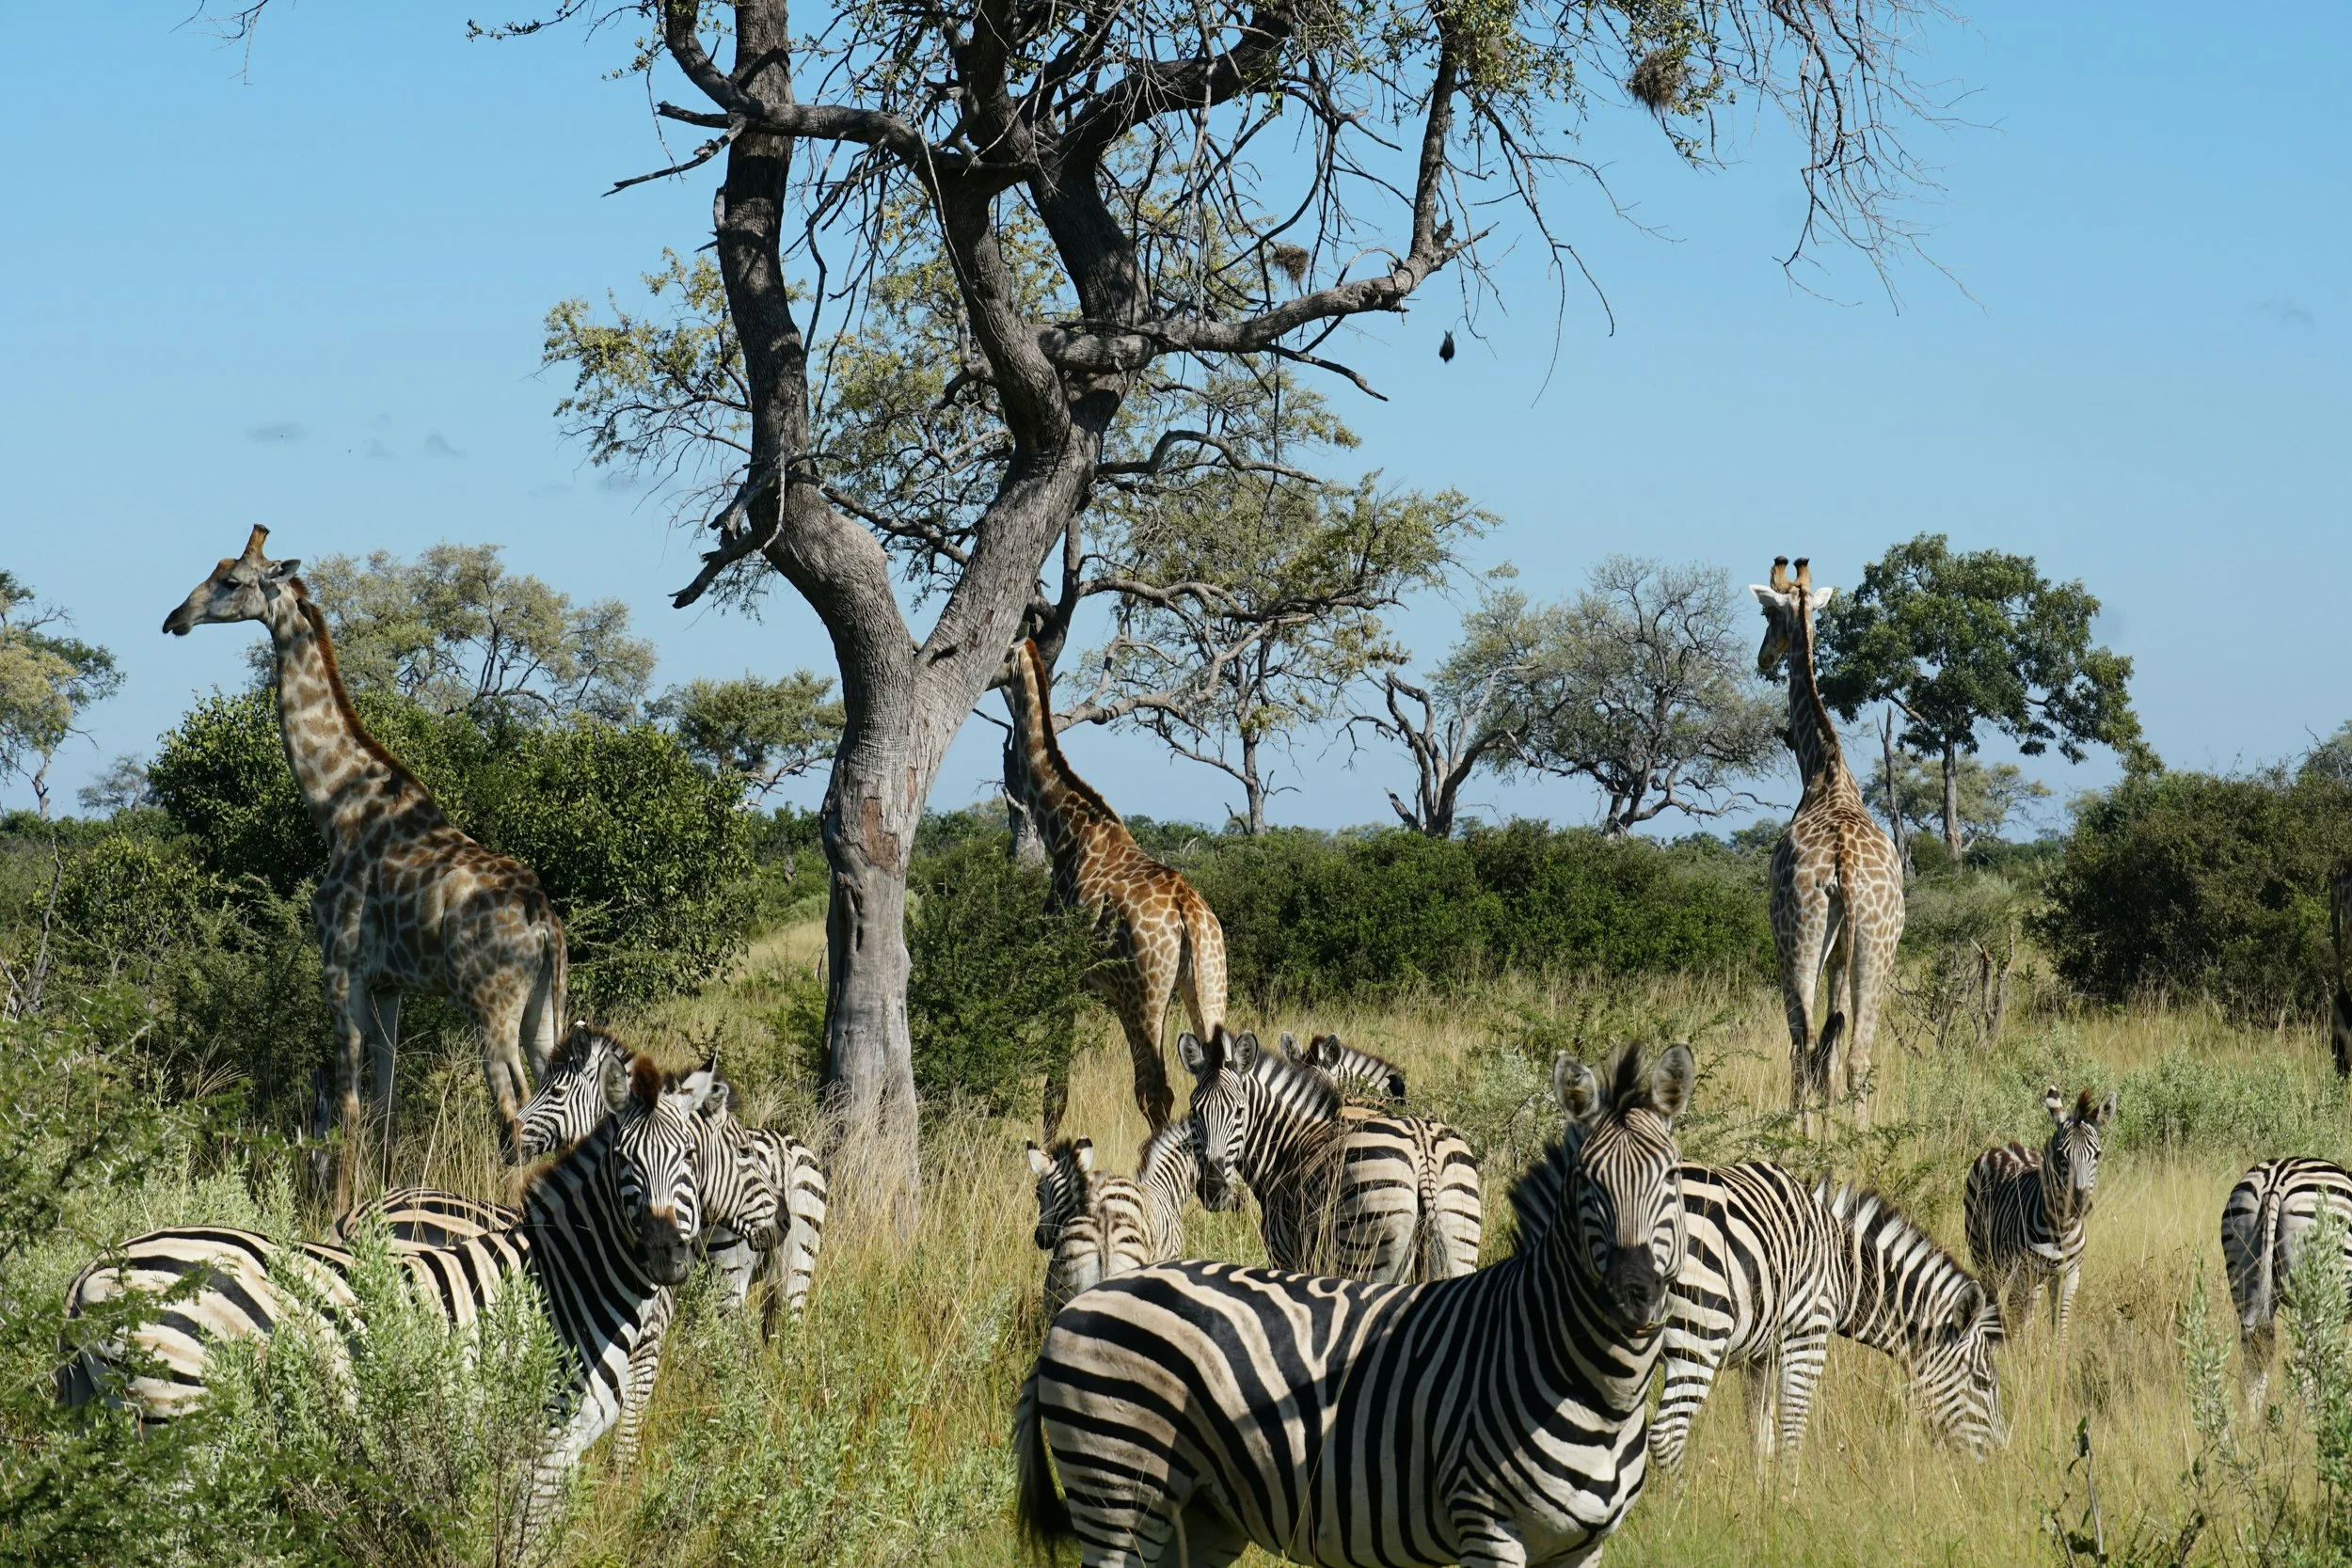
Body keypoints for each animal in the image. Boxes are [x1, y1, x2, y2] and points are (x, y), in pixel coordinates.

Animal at [59, 1053, 717, 1542]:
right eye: (624, 1163)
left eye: (689, 1157)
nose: (668, 1257)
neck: (566, 1278)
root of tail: (89, 1271)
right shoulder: (545, 1448)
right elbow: (527, 1545)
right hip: (180, 1427)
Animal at [1179, 1027, 1481, 1281]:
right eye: (1195, 1111)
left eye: (1239, 1112)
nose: (1212, 1188)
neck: (1288, 1144)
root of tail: (1423, 1151)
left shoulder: (1285, 1257)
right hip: (1458, 1241)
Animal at [1965, 1084, 2116, 1342]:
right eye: (2061, 1155)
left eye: (2097, 1154)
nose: (2079, 1205)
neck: (2060, 1228)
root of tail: (2006, 1145)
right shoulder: (2024, 1274)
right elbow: (2021, 1328)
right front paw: (2020, 1353)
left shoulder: (2069, 1276)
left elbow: (2060, 1331)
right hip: (1984, 1257)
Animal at [2221, 1156, 2352, 1407]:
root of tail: (2275, 1182)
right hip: (2315, 1294)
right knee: (2305, 1366)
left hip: (2245, 1280)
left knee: (2254, 1356)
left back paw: (2251, 1417)